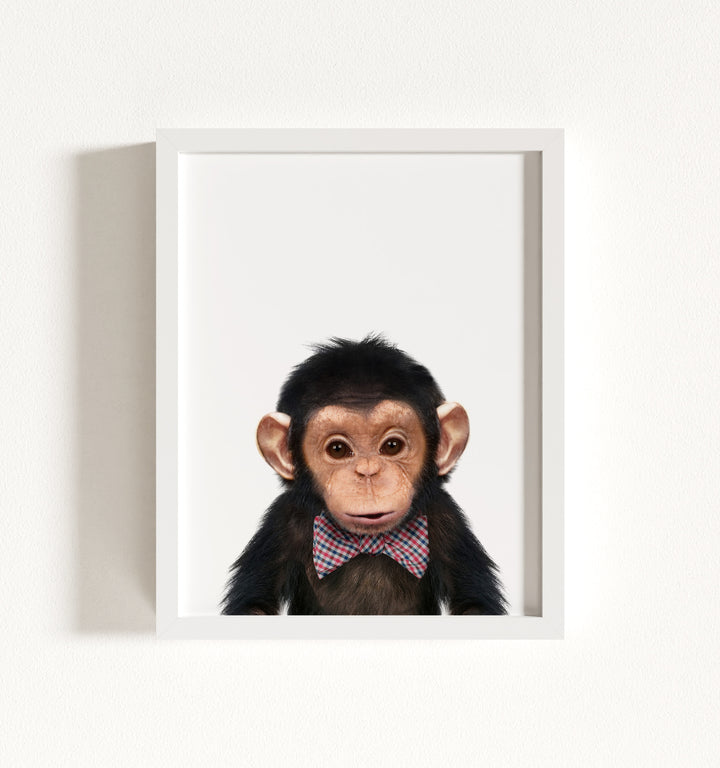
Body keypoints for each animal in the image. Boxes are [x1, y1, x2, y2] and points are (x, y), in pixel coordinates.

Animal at [221, 335, 506, 615]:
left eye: (392, 446)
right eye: (337, 449)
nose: (368, 472)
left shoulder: (447, 520)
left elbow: (474, 603)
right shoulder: (281, 523)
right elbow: (254, 605)